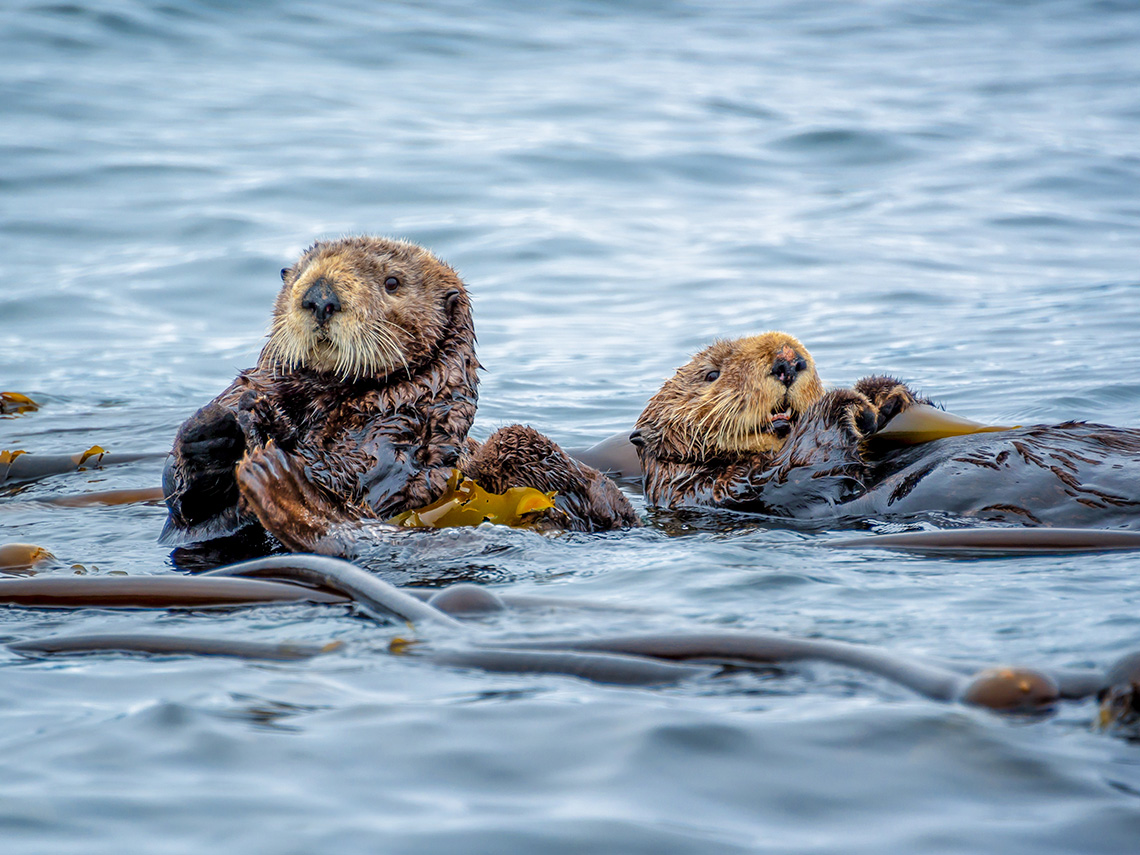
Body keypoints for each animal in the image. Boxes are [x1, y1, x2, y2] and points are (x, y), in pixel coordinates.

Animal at [162, 236, 635, 553]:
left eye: (392, 282)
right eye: (298, 274)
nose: (320, 296)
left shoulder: (399, 431)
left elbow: (351, 475)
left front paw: (269, 430)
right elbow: (185, 503)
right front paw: (213, 429)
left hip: (527, 451)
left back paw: (279, 485)